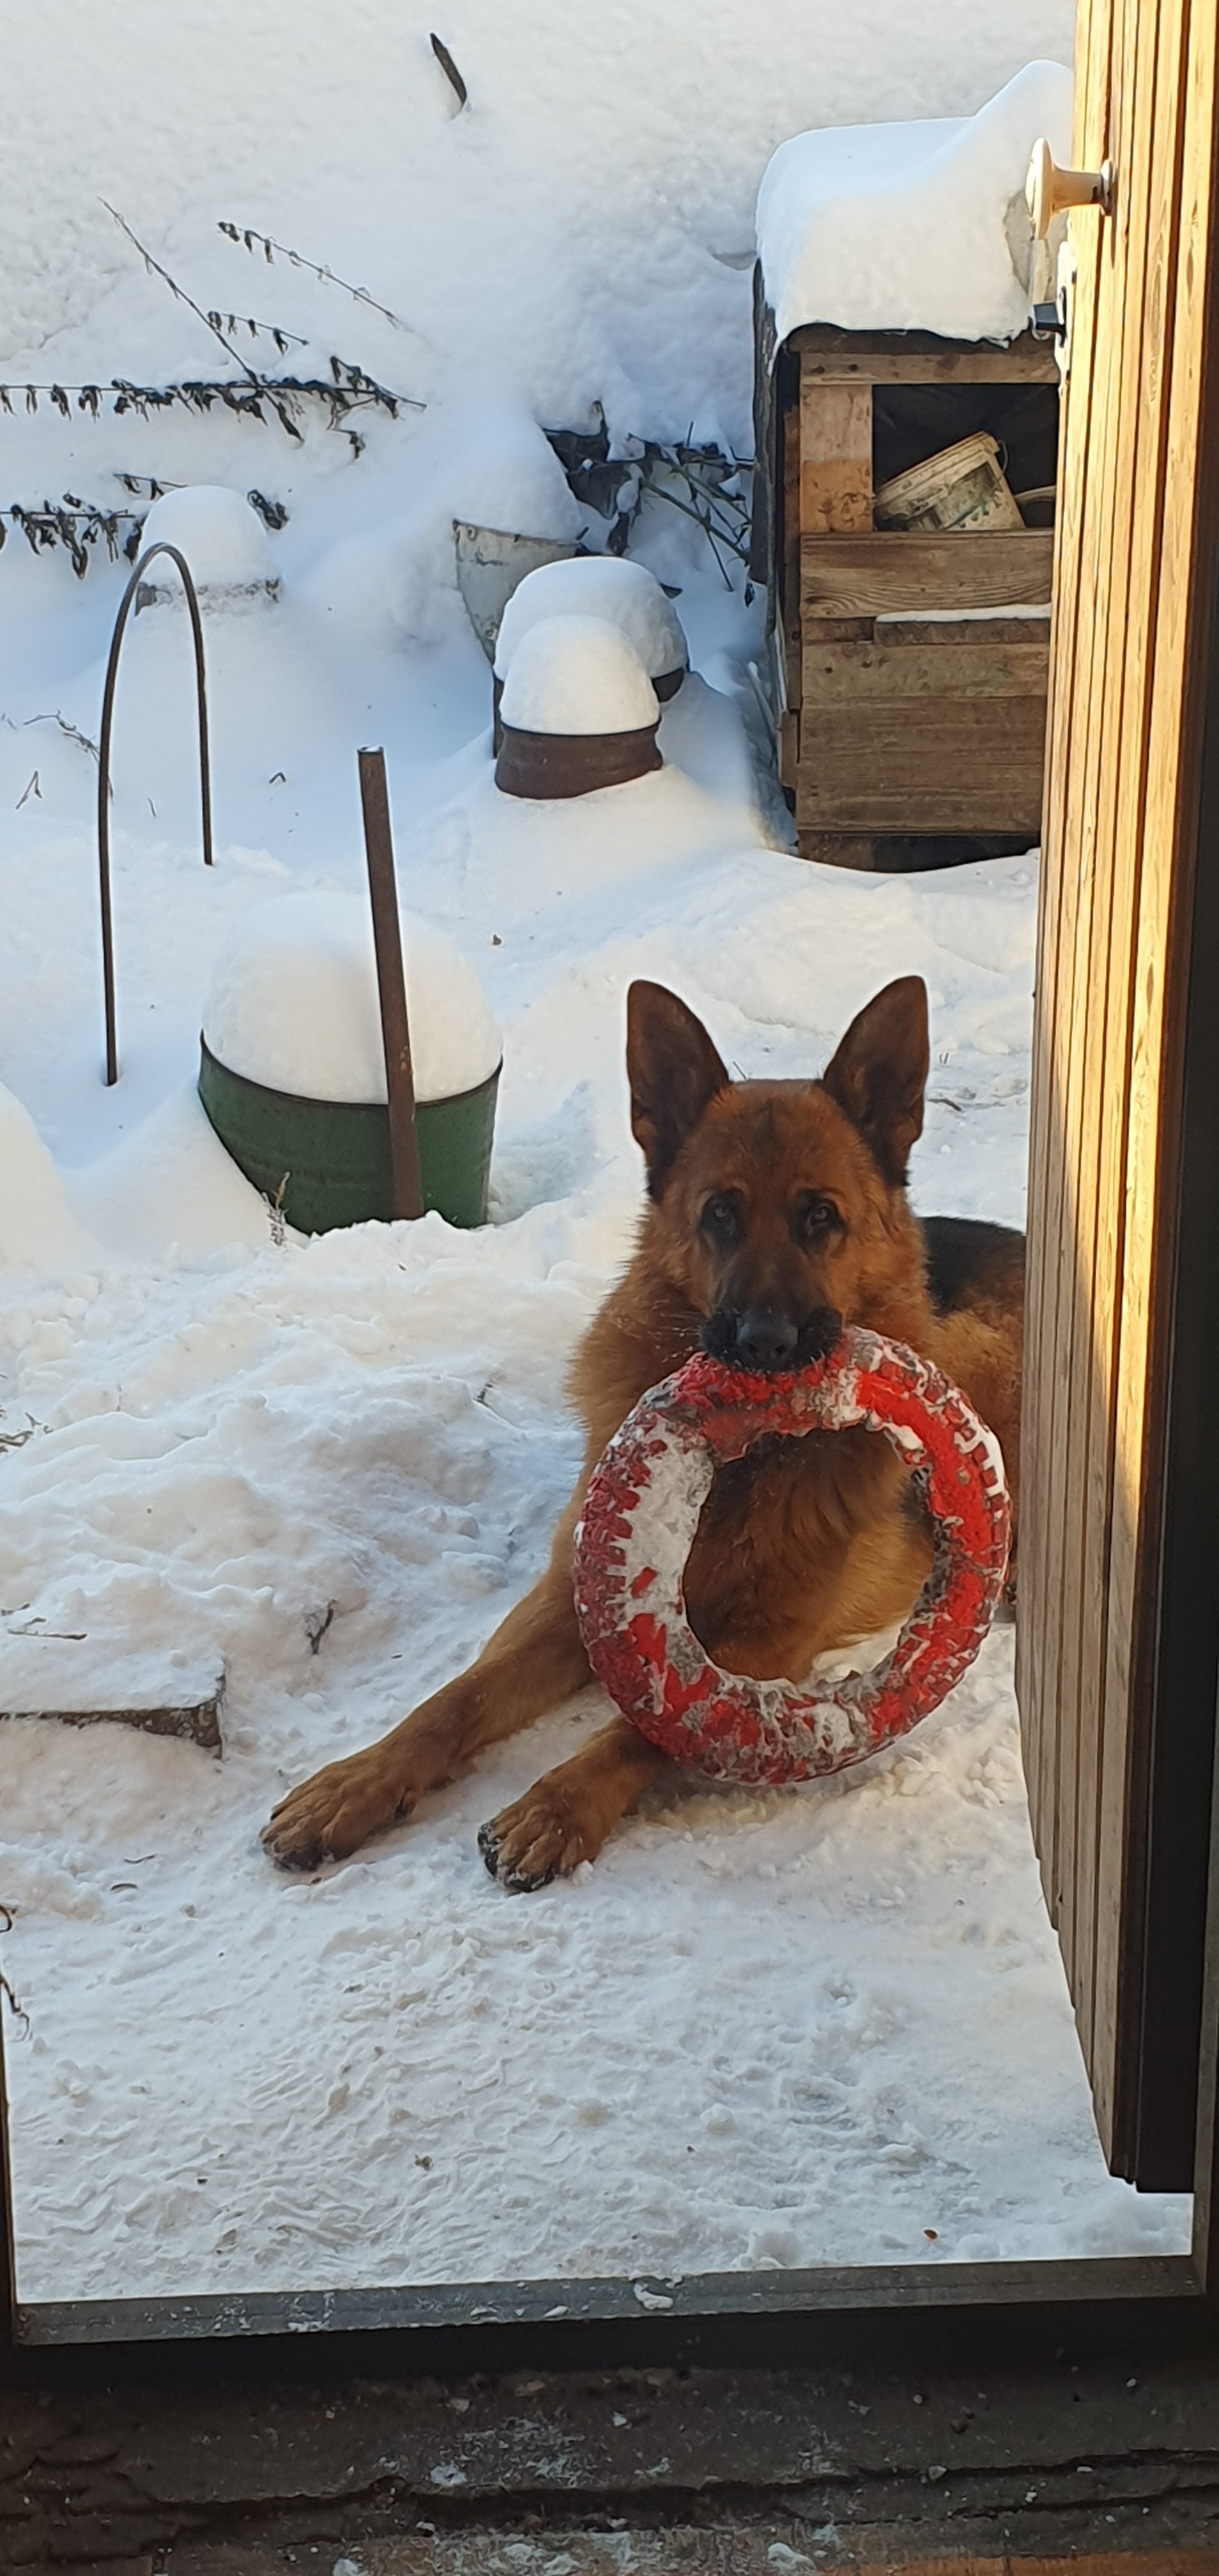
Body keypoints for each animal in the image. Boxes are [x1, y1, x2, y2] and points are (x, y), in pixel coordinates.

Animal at [261, 974, 1020, 1885]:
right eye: (720, 1214)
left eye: (820, 1218)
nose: (764, 1344)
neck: (743, 1468)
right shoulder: (566, 1600)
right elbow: (455, 1699)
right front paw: (358, 1783)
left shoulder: (766, 1638)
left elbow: (643, 1732)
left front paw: (557, 1806)